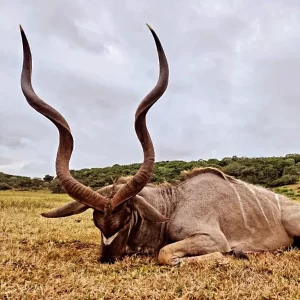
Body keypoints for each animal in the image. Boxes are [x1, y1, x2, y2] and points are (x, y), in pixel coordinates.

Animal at [19, 25, 300, 264]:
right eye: (96, 222)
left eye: (126, 219)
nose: (108, 258)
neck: (173, 203)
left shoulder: (212, 238)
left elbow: (165, 254)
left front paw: (230, 255)